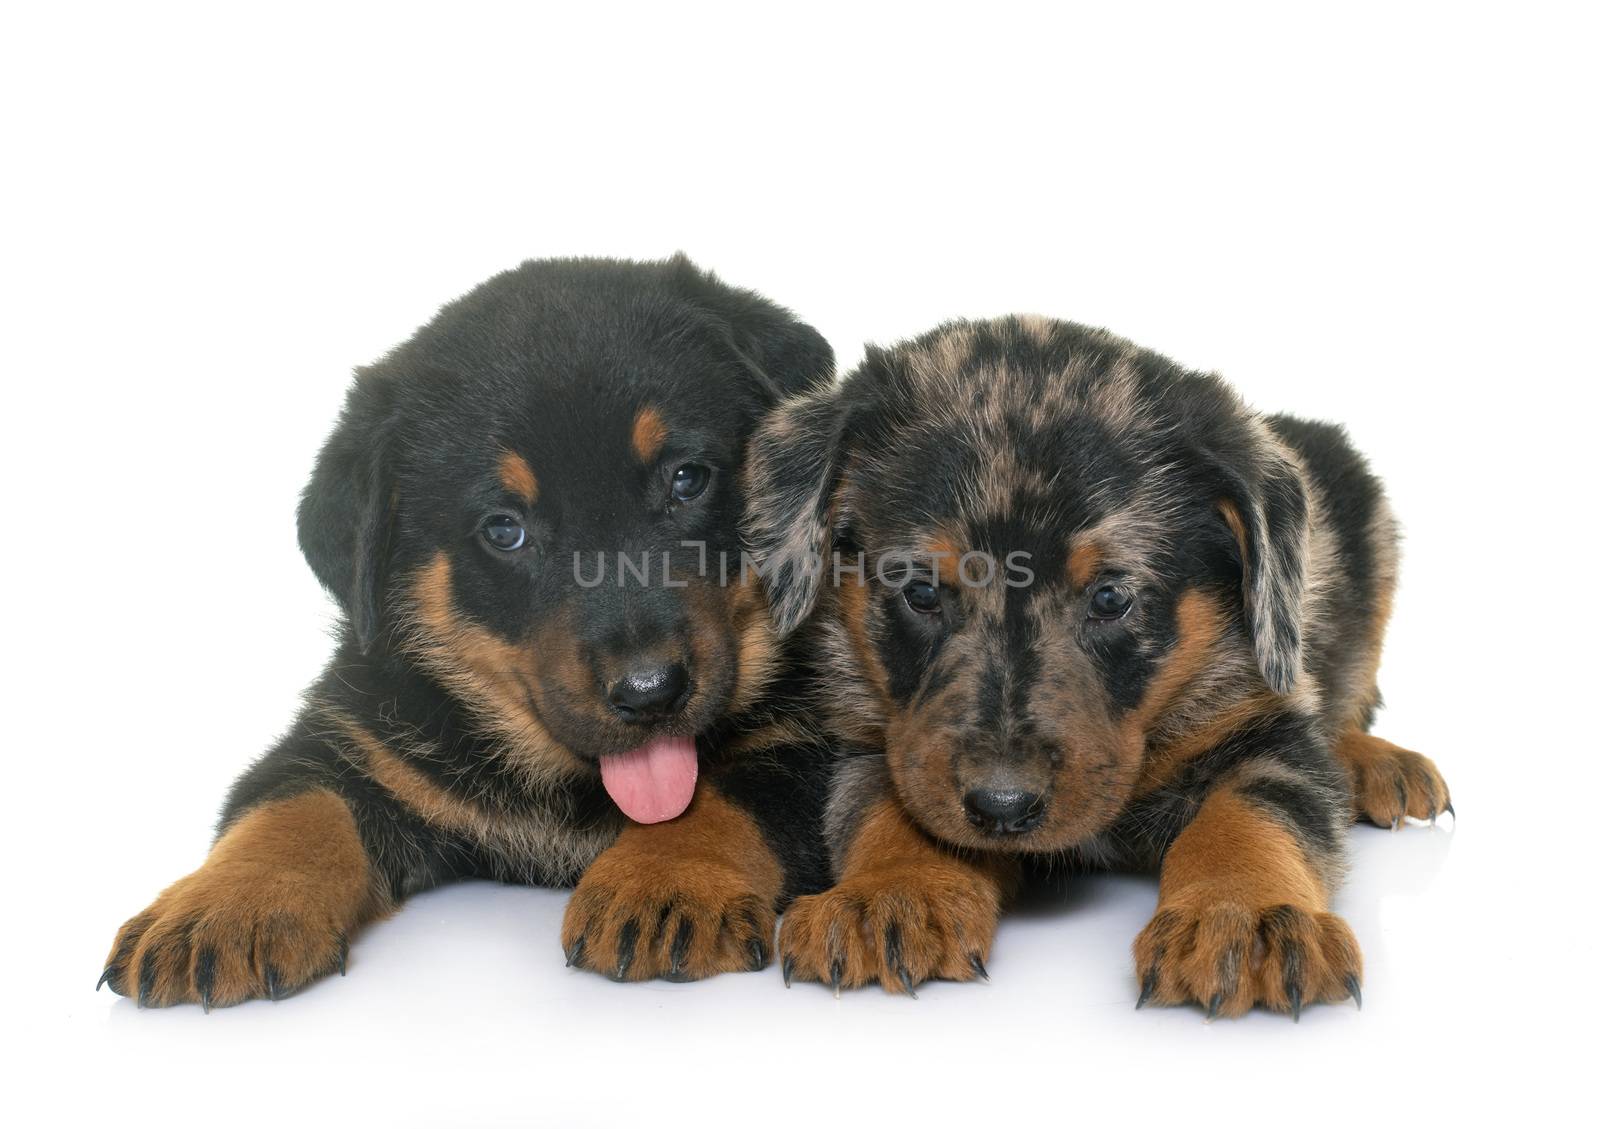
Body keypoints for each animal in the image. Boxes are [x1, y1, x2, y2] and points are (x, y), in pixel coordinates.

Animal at [96, 252, 838, 1004]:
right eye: (504, 530)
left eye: (688, 479)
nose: (650, 690)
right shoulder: (351, 731)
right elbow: (291, 802)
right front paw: (224, 907)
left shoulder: (821, 741)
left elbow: (730, 788)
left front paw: (664, 878)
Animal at [745, 315, 1452, 1010]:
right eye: (919, 592)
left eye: (1111, 598)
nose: (1003, 805)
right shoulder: (881, 739)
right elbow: (894, 812)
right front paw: (892, 893)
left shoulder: (1264, 724)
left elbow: (1254, 815)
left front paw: (1240, 915)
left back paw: (1376, 762)